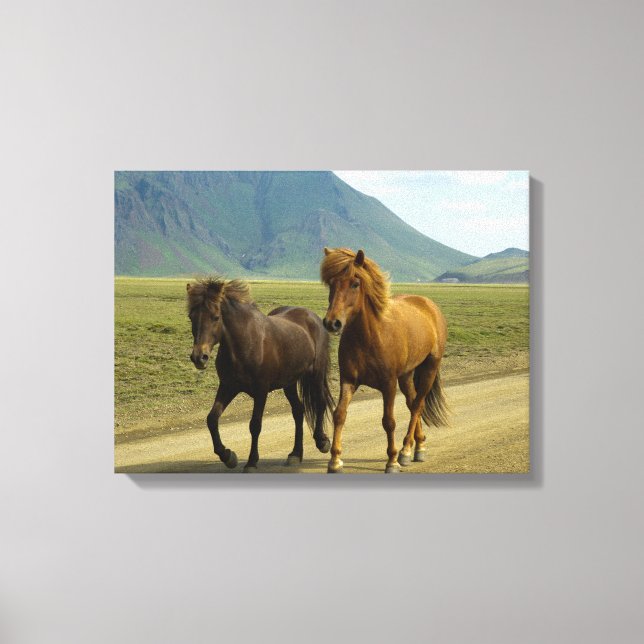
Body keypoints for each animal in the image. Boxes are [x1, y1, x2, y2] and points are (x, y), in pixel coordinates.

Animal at [186, 277, 333, 472]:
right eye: (191, 317)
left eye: (215, 317)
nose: (199, 357)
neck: (245, 344)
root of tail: (312, 316)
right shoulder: (228, 387)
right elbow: (212, 419)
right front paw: (228, 456)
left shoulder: (261, 391)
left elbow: (255, 425)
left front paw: (251, 462)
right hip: (289, 382)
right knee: (298, 410)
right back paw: (295, 454)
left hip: (315, 375)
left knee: (320, 403)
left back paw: (322, 442)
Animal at [320, 248, 449, 473]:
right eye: (331, 283)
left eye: (355, 283)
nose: (332, 323)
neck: (369, 337)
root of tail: (429, 305)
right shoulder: (348, 380)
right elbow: (339, 414)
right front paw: (335, 460)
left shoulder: (388, 384)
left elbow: (388, 421)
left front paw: (392, 460)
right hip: (406, 375)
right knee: (413, 403)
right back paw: (419, 446)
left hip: (429, 368)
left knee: (418, 405)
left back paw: (406, 450)